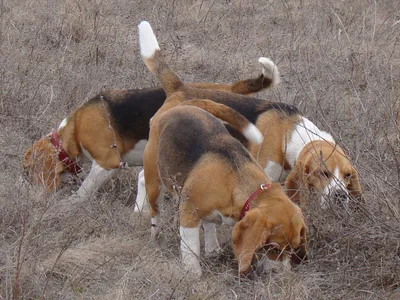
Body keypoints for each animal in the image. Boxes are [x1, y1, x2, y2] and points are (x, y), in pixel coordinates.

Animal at [23, 57, 276, 200]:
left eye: (27, 169)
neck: (73, 129)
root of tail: (228, 88)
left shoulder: (106, 164)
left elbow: (85, 190)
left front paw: (71, 203)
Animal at [138, 21, 362, 209]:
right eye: (323, 173)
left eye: (347, 175)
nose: (341, 196)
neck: (289, 134)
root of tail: (180, 89)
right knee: (144, 178)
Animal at [145, 103, 308, 276]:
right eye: (273, 248)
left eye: (294, 248)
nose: (282, 274)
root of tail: (173, 108)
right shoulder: (189, 213)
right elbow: (192, 249)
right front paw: (193, 272)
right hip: (154, 185)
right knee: (156, 213)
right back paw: (156, 236)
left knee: (208, 224)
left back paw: (212, 248)